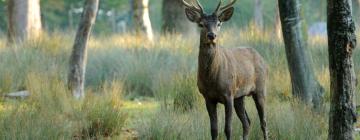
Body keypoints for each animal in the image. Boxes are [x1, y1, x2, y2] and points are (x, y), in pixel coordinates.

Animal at [181, 0, 268, 140]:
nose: (212, 35)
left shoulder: (228, 94)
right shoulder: (208, 97)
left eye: (219, 23)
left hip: (260, 87)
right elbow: (214, 129)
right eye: (201, 24)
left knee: (263, 121)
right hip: (240, 96)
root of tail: (261, 58)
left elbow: (228, 128)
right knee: (247, 122)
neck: (211, 80)